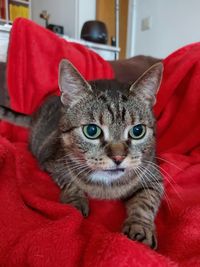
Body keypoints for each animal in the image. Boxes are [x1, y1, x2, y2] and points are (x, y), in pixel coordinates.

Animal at [0, 59, 163, 249]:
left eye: (138, 131)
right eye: (91, 131)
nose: (118, 158)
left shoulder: (154, 176)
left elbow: (146, 201)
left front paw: (140, 227)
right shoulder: (51, 163)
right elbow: (70, 182)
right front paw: (75, 200)